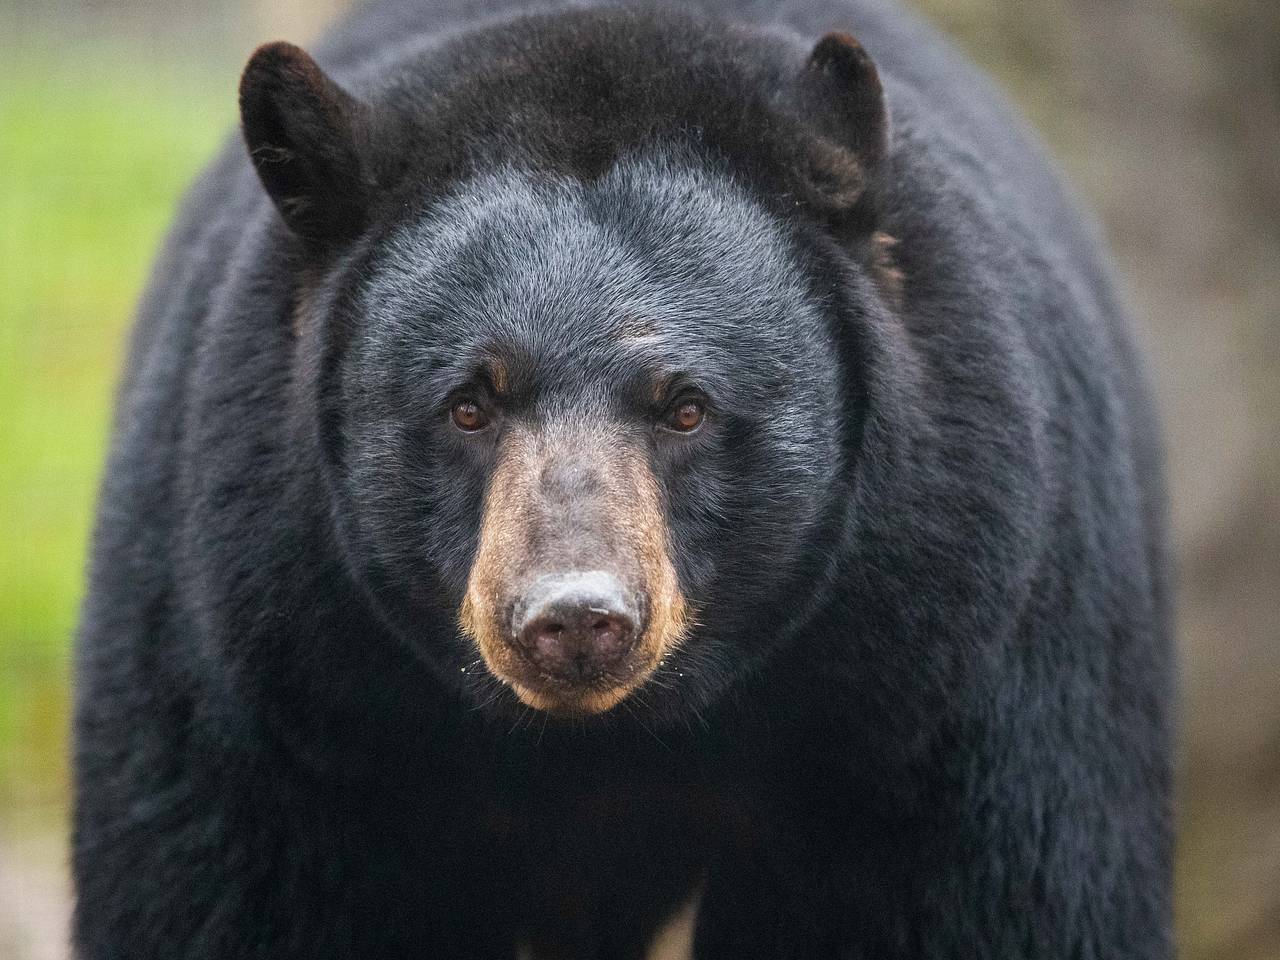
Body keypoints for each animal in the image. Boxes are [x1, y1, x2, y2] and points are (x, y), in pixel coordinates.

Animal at [72, 0, 1174, 957]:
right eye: (467, 404)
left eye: (685, 406)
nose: (573, 620)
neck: (606, 752)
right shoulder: (281, 688)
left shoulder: (935, 686)